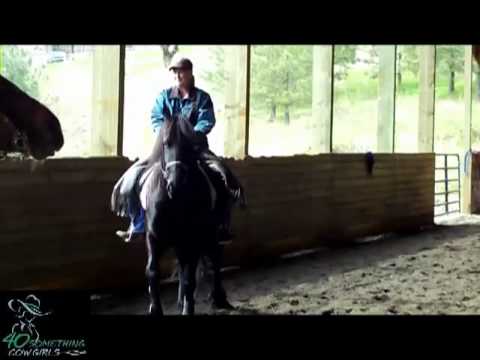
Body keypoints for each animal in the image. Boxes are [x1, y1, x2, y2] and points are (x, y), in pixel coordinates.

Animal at [118, 115, 234, 316]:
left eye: (190, 145)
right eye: (165, 143)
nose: (176, 184)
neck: (174, 201)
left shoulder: (192, 240)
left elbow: (189, 277)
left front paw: (189, 309)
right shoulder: (154, 237)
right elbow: (153, 271)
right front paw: (155, 309)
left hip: (209, 234)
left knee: (214, 258)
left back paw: (219, 298)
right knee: (184, 265)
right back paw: (182, 300)